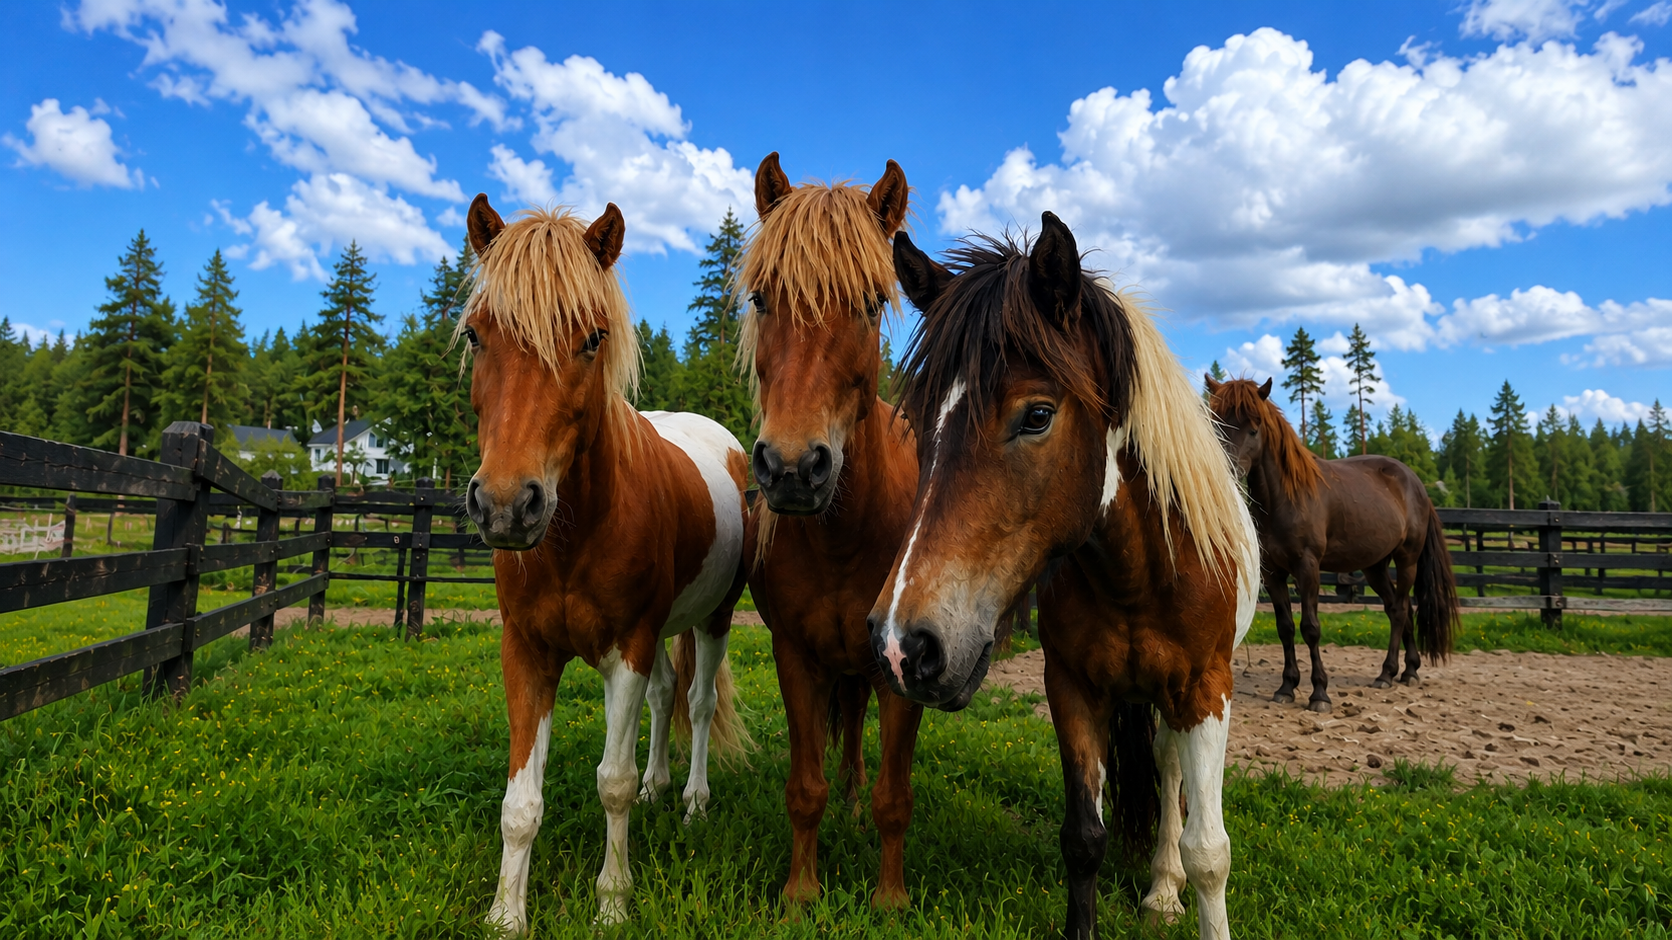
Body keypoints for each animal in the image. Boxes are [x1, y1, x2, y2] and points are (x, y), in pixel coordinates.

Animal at [458, 195, 753, 933]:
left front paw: (613, 905)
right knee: (663, 697)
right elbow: (520, 803)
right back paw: (659, 786)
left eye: (592, 338)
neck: (573, 538)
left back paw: (693, 803)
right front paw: (506, 915)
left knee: (698, 702)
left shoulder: (629, 647)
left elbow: (610, 783)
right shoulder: (528, 651)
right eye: (476, 336)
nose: (506, 505)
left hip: (713, 619)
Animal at [875, 216, 1259, 940]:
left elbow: (1210, 853)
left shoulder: (1206, 689)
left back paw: (1162, 890)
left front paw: (1184, 886)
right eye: (915, 419)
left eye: (1036, 415)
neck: (1138, 577)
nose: (902, 645)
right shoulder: (1073, 687)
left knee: (1171, 770)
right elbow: (1083, 839)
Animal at [1205, 377, 1458, 710]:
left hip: (1407, 560)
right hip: (1375, 567)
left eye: (1254, 428)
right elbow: (1285, 628)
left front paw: (1319, 693)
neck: (1286, 498)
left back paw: (1389, 674)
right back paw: (1407, 670)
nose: (1227, 472)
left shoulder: (1308, 567)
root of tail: (1415, 483)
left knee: (1401, 609)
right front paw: (1286, 687)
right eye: (1215, 423)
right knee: (1396, 609)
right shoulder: (1273, 574)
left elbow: (1310, 629)